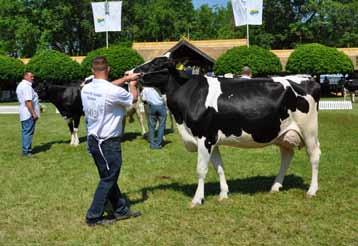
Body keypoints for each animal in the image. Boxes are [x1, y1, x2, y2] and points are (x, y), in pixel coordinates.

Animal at [131, 54, 322, 207]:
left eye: (157, 63)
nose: (132, 72)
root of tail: (308, 78)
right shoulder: (212, 139)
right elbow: (219, 167)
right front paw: (223, 194)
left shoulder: (204, 137)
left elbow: (201, 169)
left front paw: (197, 199)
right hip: (283, 133)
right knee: (287, 156)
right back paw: (275, 187)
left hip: (309, 130)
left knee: (314, 156)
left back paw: (312, 190)